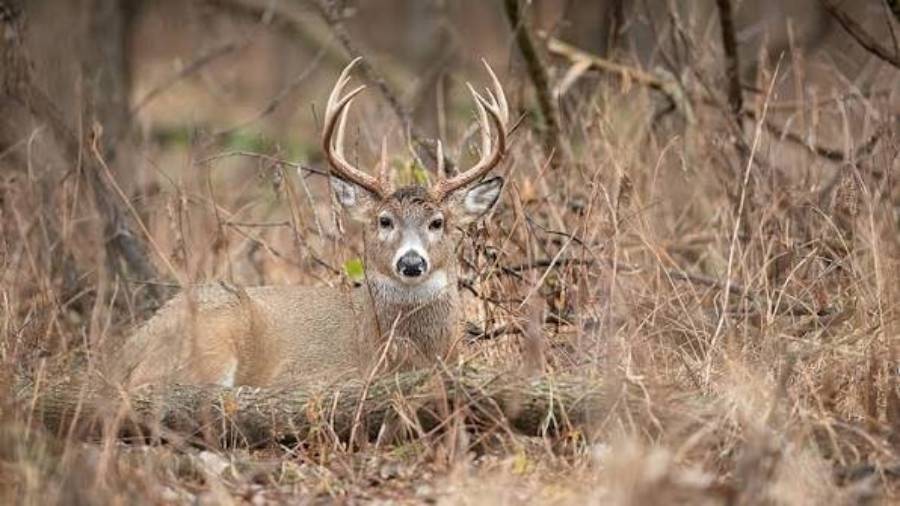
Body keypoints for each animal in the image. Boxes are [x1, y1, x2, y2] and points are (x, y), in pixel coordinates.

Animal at [115, 58, 509, 389]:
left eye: (438, 222)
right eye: (384, 221)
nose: (411, 262)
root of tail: (127, 350)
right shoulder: (310, 373)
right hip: (211, 338)